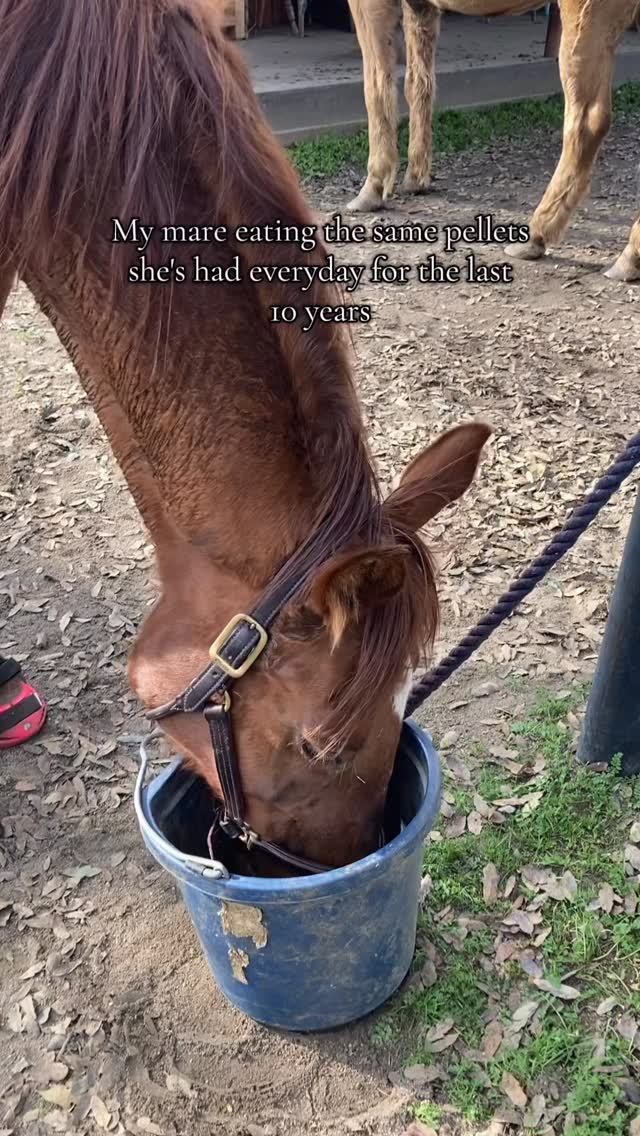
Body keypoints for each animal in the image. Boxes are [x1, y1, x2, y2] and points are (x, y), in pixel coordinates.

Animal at [347, 0, 640, 281]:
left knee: (586, 122)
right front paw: (415, 179)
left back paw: (537, 235)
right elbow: (419, 83)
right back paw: (630, 257)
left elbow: (376, 87)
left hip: (585, 18)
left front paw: (372, 188)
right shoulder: (420, 7)